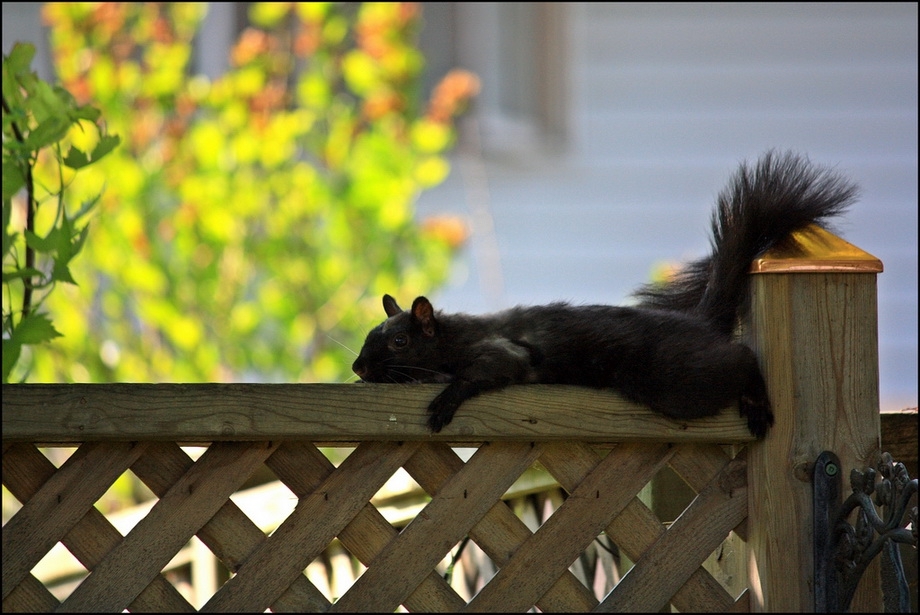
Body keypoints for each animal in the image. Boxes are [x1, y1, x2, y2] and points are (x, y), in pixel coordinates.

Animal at [350, 150, 856, 438]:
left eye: (400, 341)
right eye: (369, 336)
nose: (358, 366)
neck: (454, 336)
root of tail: (697, 322)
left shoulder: (500, 350)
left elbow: (483, 372)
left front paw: (444, 399)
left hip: (677, 381)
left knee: (741, 359)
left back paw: (756, 399)